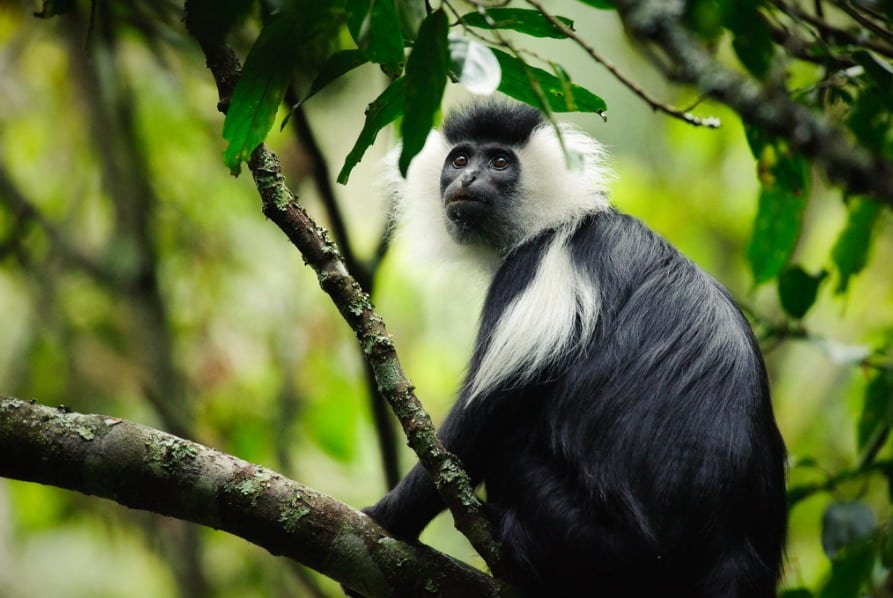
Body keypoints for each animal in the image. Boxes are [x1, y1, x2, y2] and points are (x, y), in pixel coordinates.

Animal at [366, 104, 784, 598]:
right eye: (461, 159)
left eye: (500, 162)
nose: (466, 179)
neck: (558, 217)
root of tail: (728, 546)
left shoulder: (537, 267)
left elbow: (477, 422)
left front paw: (386, 518)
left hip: (608, 548)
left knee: (510, 448)